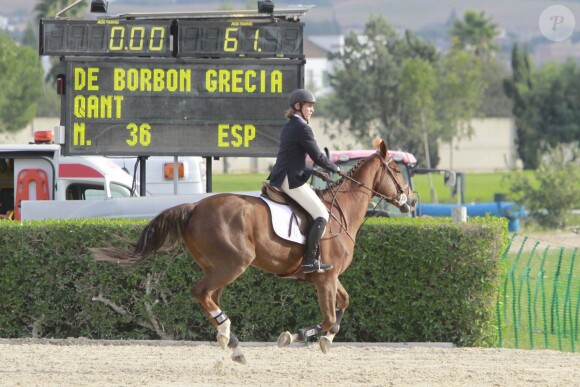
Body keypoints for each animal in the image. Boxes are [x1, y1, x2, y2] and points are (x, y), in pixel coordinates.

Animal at [90, 139, 416, 364]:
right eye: (395, 170)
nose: (412, 201)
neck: (341, 212)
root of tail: (195, 206)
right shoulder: (325, 278)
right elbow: (327, 317)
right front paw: (297, 336)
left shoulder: (330, 277)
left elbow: (343, 304)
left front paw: (325, 338)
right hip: (233, 264)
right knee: (200, 292)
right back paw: (231, 341)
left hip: (218, 267)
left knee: (210, 297)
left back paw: (229, 341)